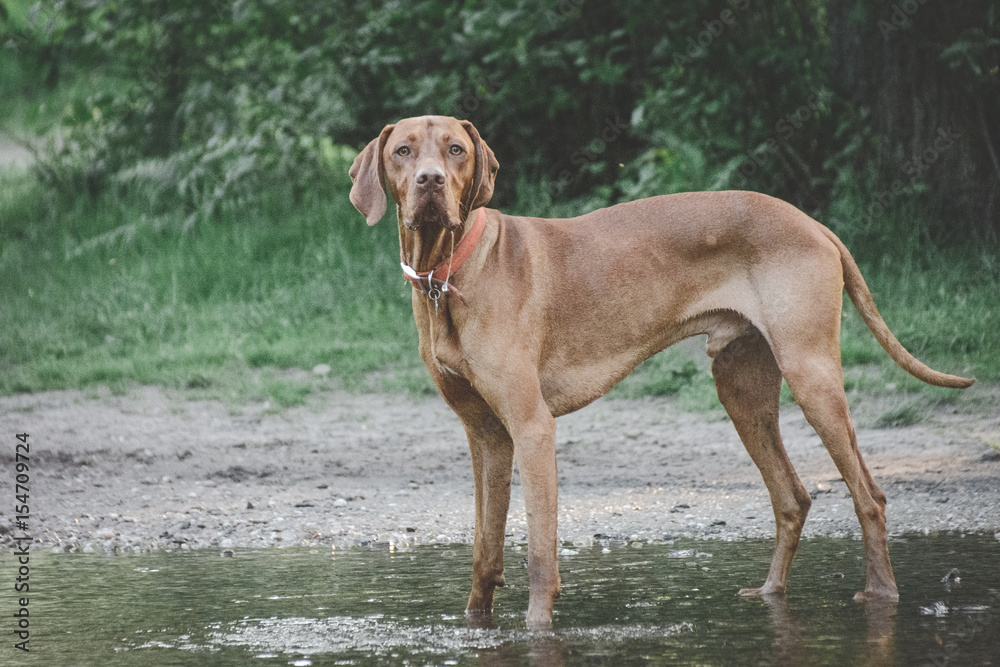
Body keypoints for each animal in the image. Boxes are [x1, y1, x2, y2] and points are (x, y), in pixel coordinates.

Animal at [348, 116, 972, 632]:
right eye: (404, 150)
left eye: (455, 149)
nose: (429, 181)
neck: (448, 274)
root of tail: (815, 224)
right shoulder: (486, 437)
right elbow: (484, 550)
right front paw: (476, 625)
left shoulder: (532, 429)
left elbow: (540, 553)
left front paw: (537, 629)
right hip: (741, 389)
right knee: (793, 497)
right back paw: (770, 594)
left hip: (811, 376)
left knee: (870, 496)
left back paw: (881, 597)